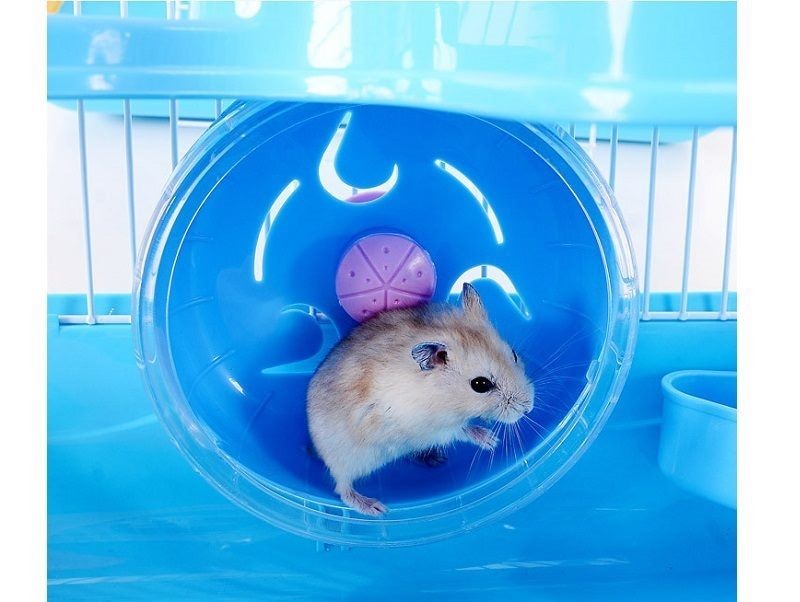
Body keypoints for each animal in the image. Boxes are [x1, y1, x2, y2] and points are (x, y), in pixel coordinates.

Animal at [307, 283, 534, 516]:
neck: (445, 397)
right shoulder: (436, 428)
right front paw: (491, 440)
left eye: (514, 354)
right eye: (480, 385)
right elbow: (463, 429)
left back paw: (435, 459)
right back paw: (376, 509)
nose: (529, 408)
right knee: (342, 489)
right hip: (346, 459)